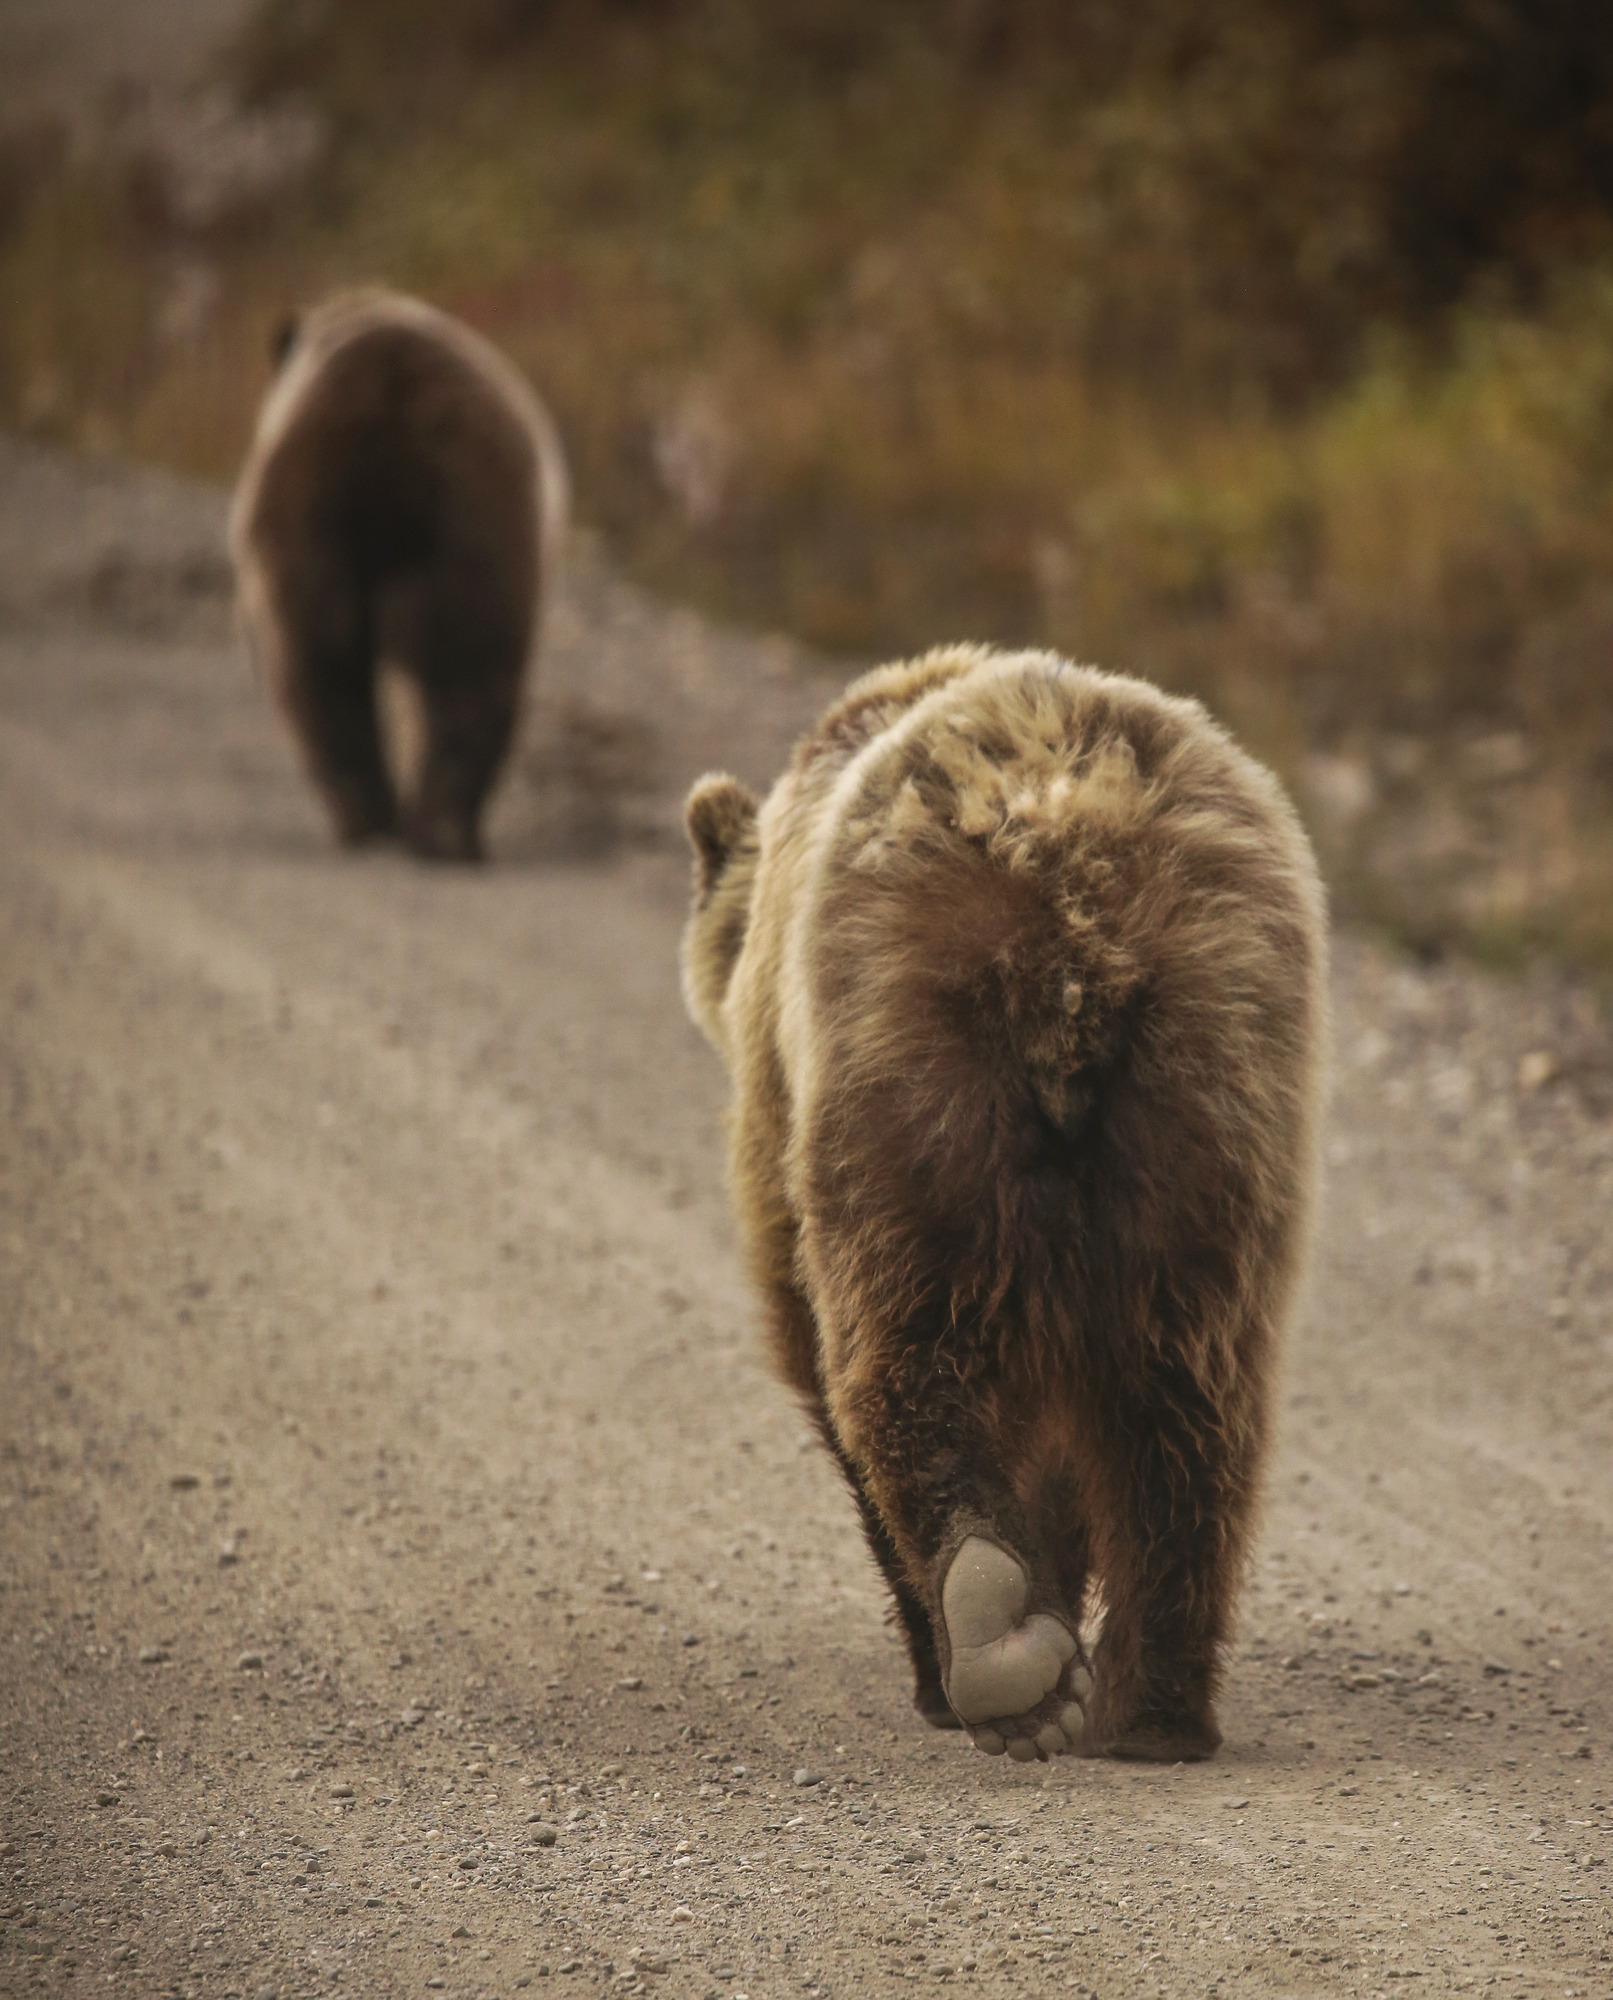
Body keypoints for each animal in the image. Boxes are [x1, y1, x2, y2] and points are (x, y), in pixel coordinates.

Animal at [229, 288, 568, 860]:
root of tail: (390, 429)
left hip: (331, 517)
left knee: (327, 667)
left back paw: (391, 822)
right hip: (459, 522)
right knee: (457, 666)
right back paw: (430, 826)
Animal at [681, 645, 1327, 1763]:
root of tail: (1073, 939)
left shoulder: (779, 1099)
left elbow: (806, 1328)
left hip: (908, 1077)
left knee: (901, 1352)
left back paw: (989, 1642)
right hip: (1213, 1086)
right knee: (1193, 1392)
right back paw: (1149, 1707)